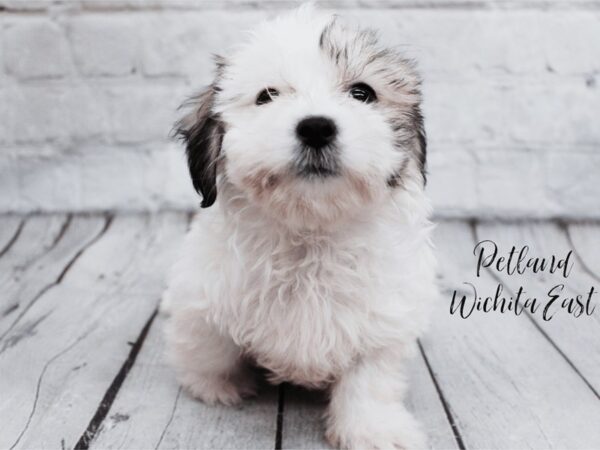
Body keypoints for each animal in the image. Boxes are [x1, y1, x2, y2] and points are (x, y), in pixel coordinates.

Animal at [162, 4, 438, 450]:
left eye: (362, 93)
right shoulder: (203, 297)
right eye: (266, 96)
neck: (310, 232)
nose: (316, 126)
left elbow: (370, 379)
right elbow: (210, 347)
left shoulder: (384, 319)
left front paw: (372, 428)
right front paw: (215, 386)